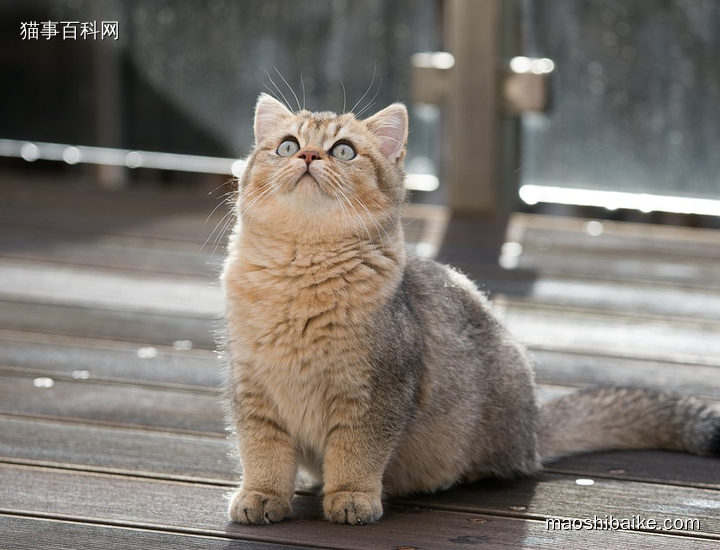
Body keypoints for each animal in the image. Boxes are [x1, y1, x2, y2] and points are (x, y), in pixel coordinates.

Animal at [221, 92, 720, 528]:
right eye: (287, 145)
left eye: (343, 150)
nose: (307, 156)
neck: (300, 272)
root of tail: (533, 428)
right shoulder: (252, 390)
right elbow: (262, 452)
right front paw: (261, 496)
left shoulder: (377, 393)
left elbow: (356, 455)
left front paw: (351, 497)